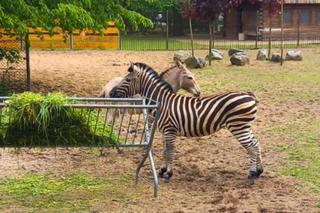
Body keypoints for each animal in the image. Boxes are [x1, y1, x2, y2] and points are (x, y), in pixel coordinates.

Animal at [111, 62, 264, 185]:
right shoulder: (164, 131)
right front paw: (163, 170)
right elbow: (165, 150)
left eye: (128, 80)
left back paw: (251, 173)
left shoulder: (169, 130)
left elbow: (170, 151)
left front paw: (168, 173)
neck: (162, 102)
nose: (112, 94)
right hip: (244, 127)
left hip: (238, 127)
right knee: (256, 143)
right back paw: (259, 170)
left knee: (251, 147)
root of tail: (248, 95)